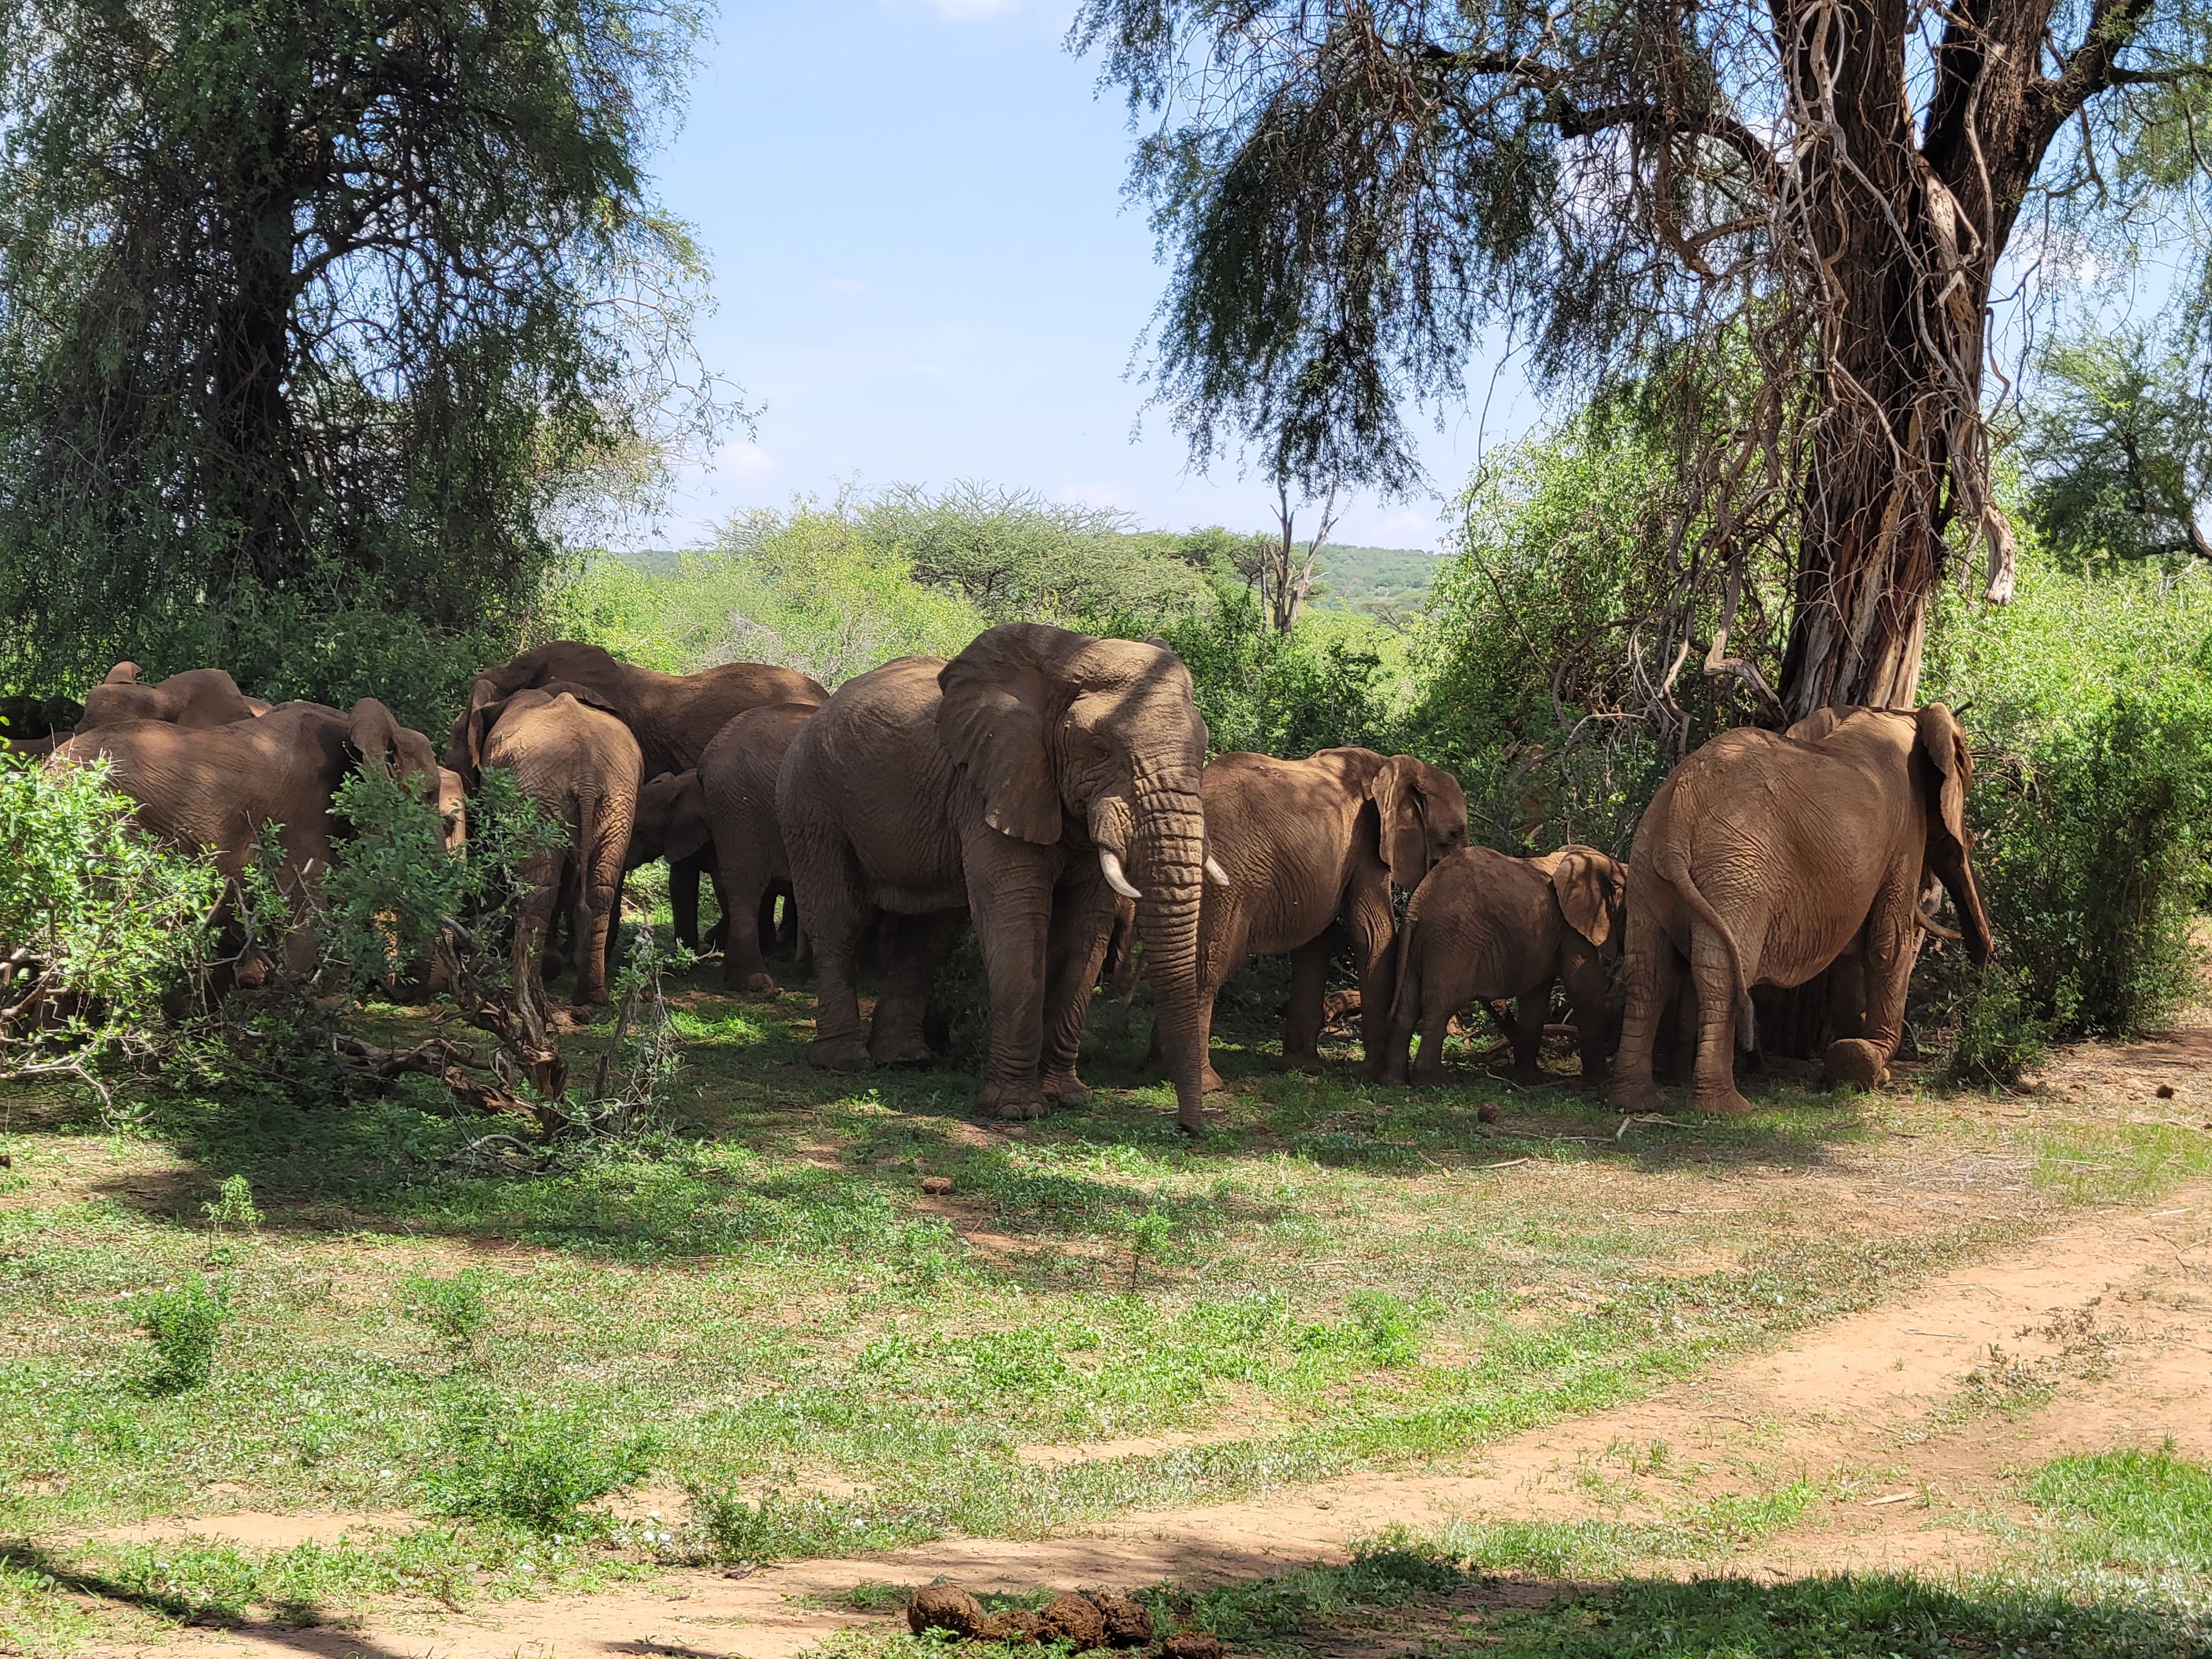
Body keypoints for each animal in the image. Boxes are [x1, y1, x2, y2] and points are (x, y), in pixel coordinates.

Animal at [473, 686, 644, 1007]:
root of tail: (587, 774)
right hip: (617, 799)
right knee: (599, 890)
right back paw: (591, 998)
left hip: (539, 796)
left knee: (540, 891)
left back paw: (526, 994)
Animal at [777, 624, 1215, 1131]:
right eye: (1100, 750)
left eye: (1203, 748)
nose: (1188, 1128)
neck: (1064, 661)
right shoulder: (991, 786)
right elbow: (1016, 924)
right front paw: (1016, 1111)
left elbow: (1085, 934)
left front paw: (1068, 1098)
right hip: (809, 799)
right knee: (838, 921)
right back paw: (845, 1063)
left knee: (927, 937)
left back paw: (905, 1060)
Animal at [1155, 748, 1468, 1087]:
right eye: (1453, 834)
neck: (1391, 766)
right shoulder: (1367, 840)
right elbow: (1374, 934)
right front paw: (1374, 1075)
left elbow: (1315, 945)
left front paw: (1303, 1068)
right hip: (1223, 881)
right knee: (1204, 970)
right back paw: (1205, 1083)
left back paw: (1154, 1067)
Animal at [1382, 844, 1626, 1085]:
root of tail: (1415, 906)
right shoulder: (1570, 928)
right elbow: (1585, 988)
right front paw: (1599, 1078)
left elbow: (1535, 996)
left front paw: (1531, 1078)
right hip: (1450, 942)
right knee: (1439, 1004)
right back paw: (1431, 1082)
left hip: (1417, 946)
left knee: (1408, 1006)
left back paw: (1394, 1081)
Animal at [1613, 703, 1995, 1116]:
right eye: (1969, 773)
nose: (1983, 963)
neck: (1902, 713)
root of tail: (1679, 809)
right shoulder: (1907, 829)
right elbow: (1887, 943)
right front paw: (1868, 1062)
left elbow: (1855, 947)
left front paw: (1852, 1057)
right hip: (1738, 873)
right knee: (1722, 974)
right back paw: (1727, 1107)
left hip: (1650, 868)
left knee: (1647, 972)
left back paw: (1638, 1101)